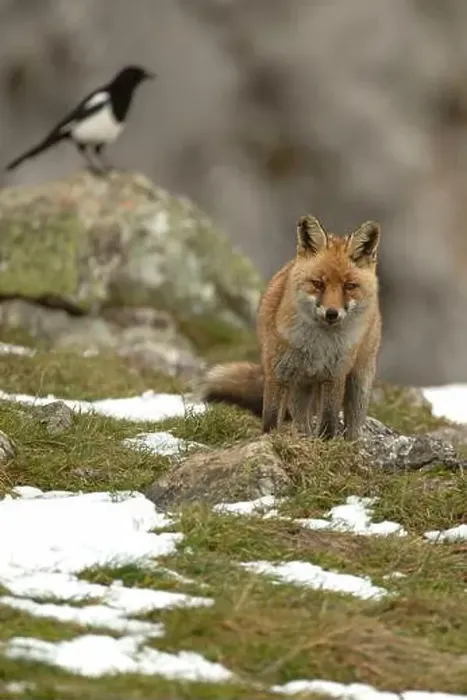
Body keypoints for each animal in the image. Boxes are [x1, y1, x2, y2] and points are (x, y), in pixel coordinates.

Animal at [199, 214, 382, 441]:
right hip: (300, 385)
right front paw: (270, 440)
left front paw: (327, 443)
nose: (332, 313)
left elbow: (329, 421)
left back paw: (350, 442)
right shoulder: (278, 373)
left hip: (359, 381)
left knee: (352, 422)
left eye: (349, 286)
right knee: (301, 418)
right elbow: (270, 418)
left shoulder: (335, 376)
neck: (317, 346)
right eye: (318, 284)